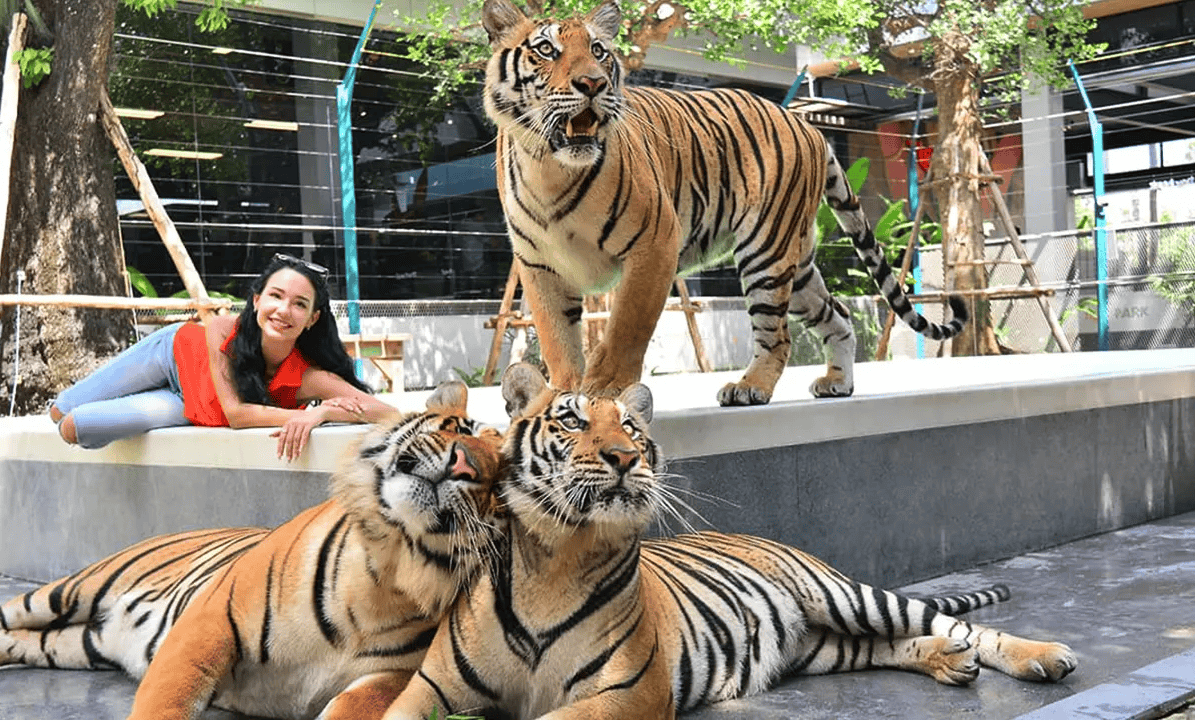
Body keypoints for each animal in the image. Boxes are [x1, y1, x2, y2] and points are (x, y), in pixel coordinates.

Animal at [0, 381, 506, 720]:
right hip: (73, 590)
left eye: (499, 479)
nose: (465, 464)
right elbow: (166, 701)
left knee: (27, 641)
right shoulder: (209, 621)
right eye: (462, 427)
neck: (389, 571)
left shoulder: (391, 678)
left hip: (78, 644)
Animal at [381, 363, 1076, 719]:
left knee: (960, 625)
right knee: (894, 644)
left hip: (846, 597)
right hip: (823, 646)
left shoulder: (624, 693)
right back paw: (948, 662)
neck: (557, 555)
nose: (625, 457)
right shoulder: (430, 688)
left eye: (632, 426)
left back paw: (1042, 655)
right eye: (572, 419)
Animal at [481, 0, 967, 406]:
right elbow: (557, 338)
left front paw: (605, 389)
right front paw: (561, 397)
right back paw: (838, 383)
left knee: (777, 336)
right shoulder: (539, 265)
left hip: (766, 250)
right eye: (546, 49)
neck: (551, 169)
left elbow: (625, 326)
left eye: (599, 51)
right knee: (839, 314)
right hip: (799, 262)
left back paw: (750, 388)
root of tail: (808, 125)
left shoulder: (654, 244)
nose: (593, 83)